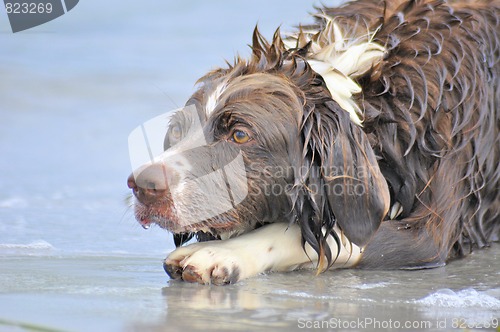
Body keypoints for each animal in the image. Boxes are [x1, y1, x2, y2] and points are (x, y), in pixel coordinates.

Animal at [128, 0, 500, 286]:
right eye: (178, 131)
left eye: (239, 135)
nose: (142, 185)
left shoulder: (427, 234)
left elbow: (318, 237)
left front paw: (221, 253)